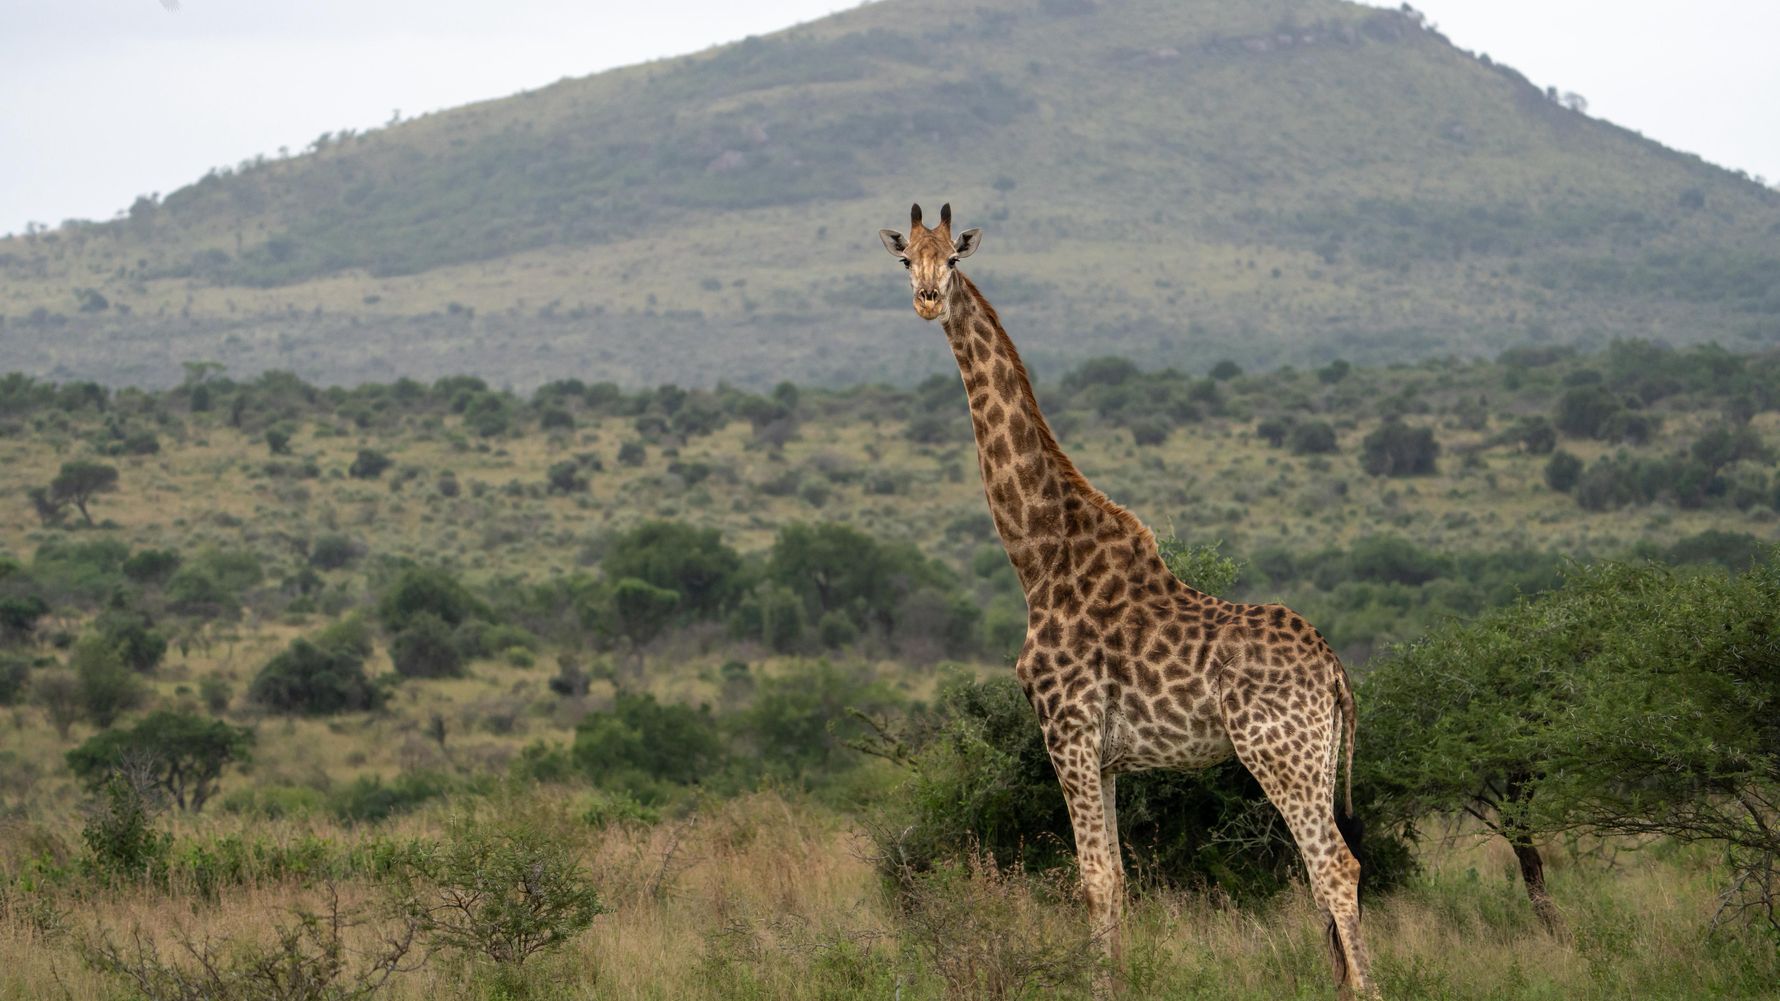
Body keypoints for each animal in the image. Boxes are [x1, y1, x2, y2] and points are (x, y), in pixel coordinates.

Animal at [878, 203, 1373, 996]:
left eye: (952, 258)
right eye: (905, 260)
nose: (926, 300)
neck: (1040, 555)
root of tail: (1335, 672)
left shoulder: (1067, 729)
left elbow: (1095, 879)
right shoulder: (1107, 755)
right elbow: (1119, 878)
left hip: (1279, 752)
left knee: (1334, 865)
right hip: (1318, 756)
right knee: (1325, 869)